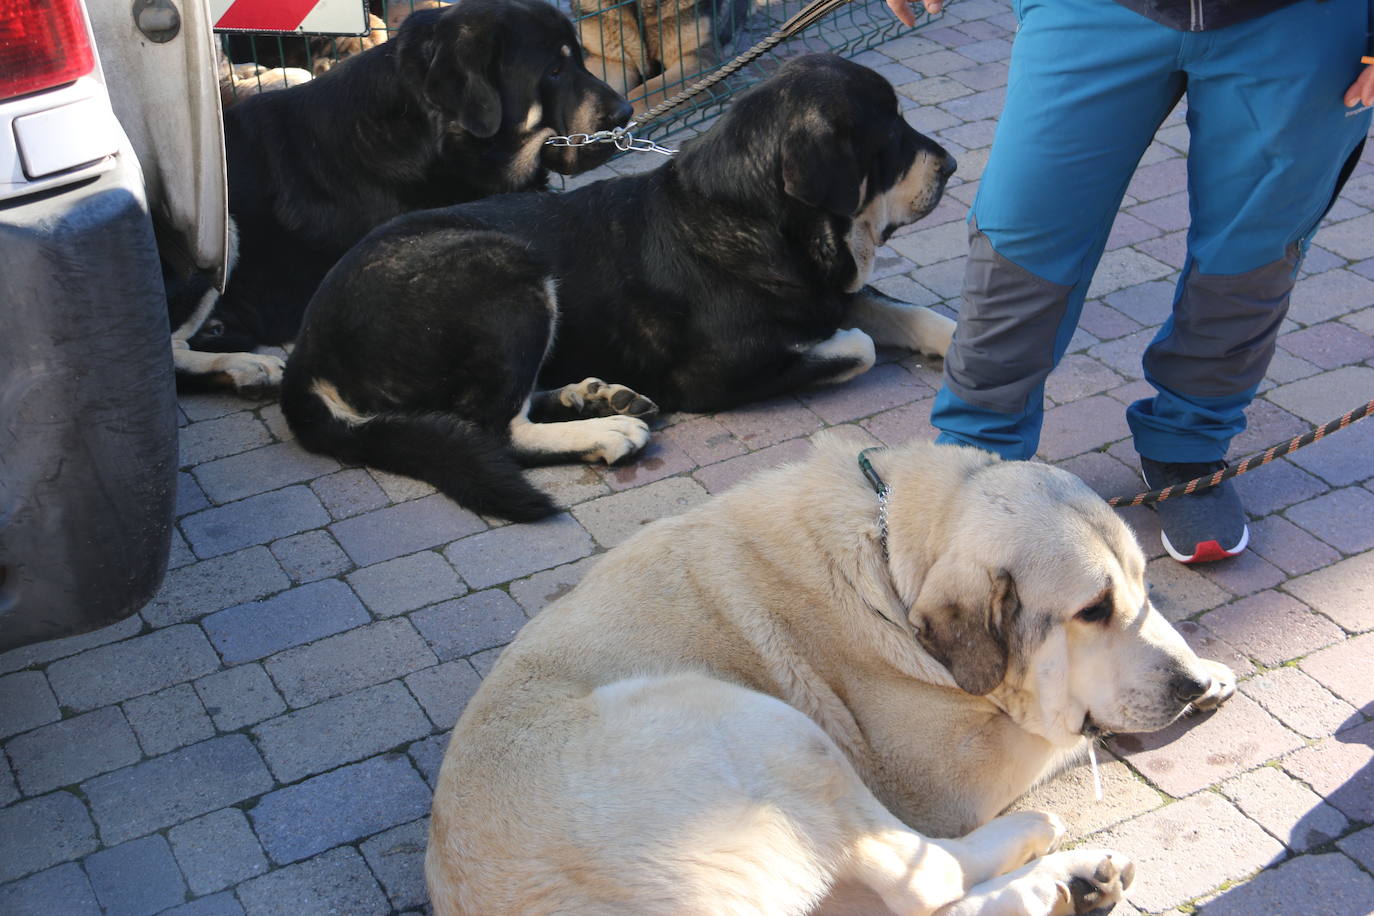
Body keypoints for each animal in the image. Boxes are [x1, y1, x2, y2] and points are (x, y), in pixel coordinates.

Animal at [169, 0, 629, 390]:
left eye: (580, 62)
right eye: (553, 71)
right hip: (220, 227)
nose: (625, 113)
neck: (432, 139)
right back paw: (245, 364)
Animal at [281, 55, 956, 521]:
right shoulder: (714, 374)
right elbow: (857, 343)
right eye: (892, 136)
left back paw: (593, 396)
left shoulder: (829, 288)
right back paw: (606, 429)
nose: (950, 166)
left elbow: (907, 314)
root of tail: (307, 346)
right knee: (494, 426)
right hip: (507, 272)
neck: (757, 218)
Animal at [425, 439, 1236, 916]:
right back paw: (1050, 864)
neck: (890, 559)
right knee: (922, 880)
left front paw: (1211, 667)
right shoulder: (955, 776)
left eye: (1141, 583)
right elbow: (1057, 726)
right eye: (1092, 610)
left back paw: (1074, 880)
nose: (1184, 687)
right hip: (755, 723)